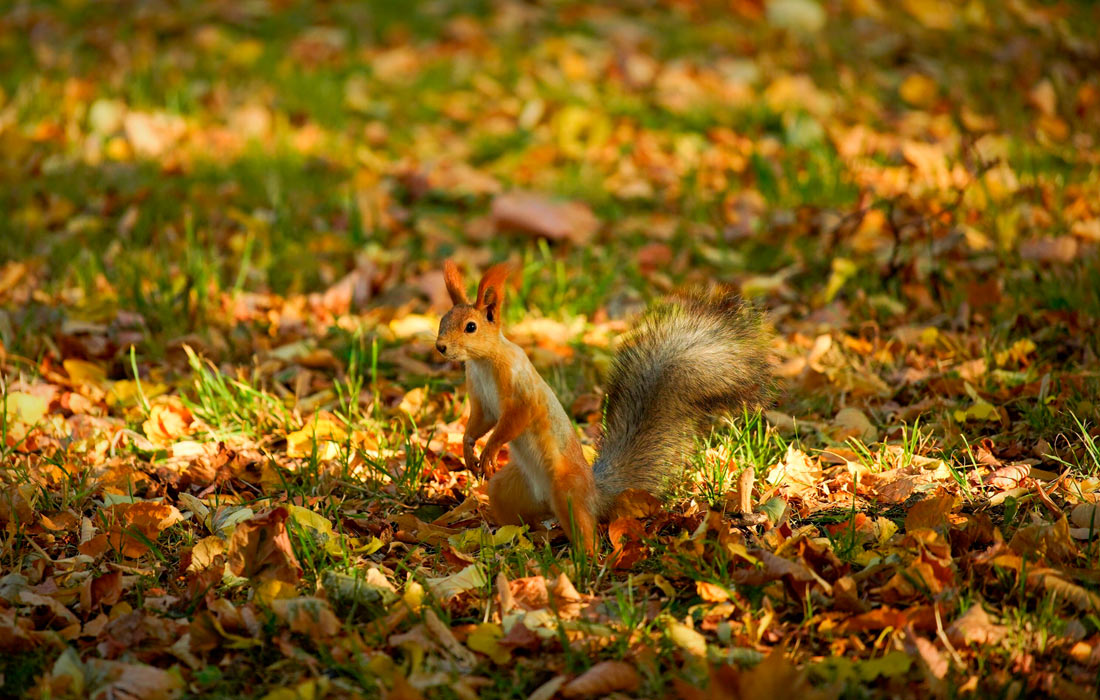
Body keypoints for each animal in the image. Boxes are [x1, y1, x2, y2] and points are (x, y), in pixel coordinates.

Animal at [435, 261, 772, 554]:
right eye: (442, 320)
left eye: (470, 327)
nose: (440, 347)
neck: (483, 361)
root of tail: (594, 493)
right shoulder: (480, 398)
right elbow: (480, 421)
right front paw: (469, 449)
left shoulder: (520, 390)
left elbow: (516, 418)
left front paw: (490, 450)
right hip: (509, 491)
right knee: (522, 516)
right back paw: (519, 537)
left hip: (567, 491)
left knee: (585, 530)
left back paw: (585, 562)